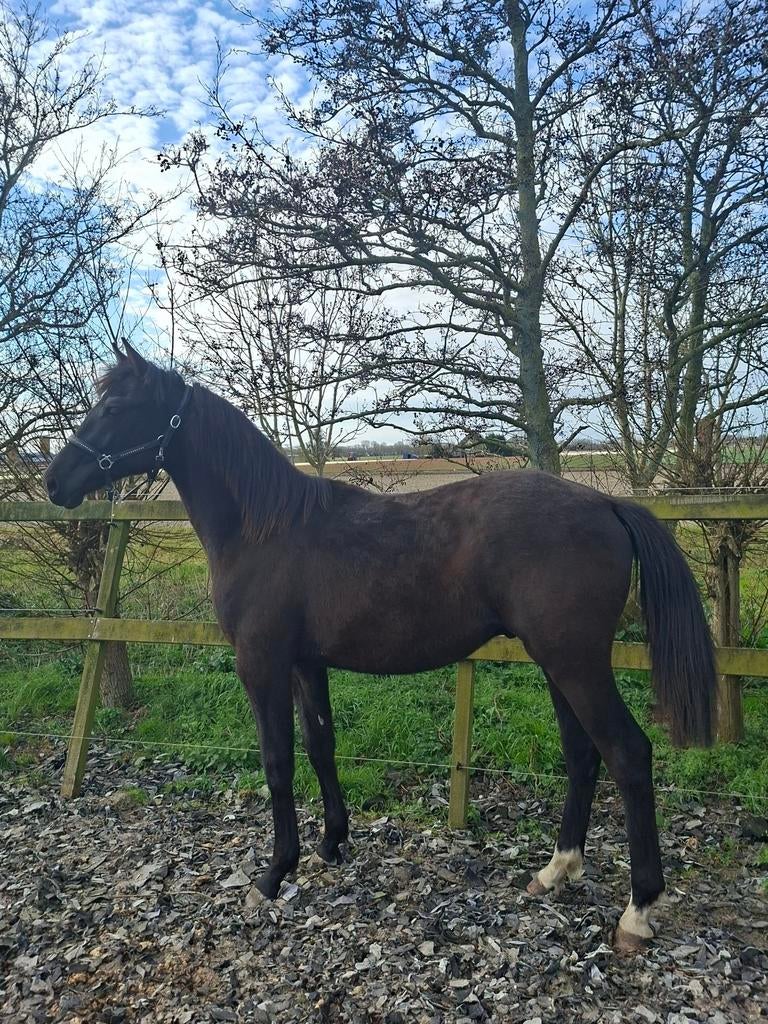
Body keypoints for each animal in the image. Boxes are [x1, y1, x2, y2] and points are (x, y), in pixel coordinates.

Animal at [44, 342, 717, 954]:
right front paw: (330, 845)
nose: (55, 481)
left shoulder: (262, 664)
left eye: (115, 407)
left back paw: (637, 910)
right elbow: (321, 747)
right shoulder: (307, 663)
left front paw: (273, 874)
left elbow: (277, 762)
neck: (264, 530)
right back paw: (555, 871)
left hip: (574, 663)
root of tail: (606, 501)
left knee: (627, 754)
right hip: (558, 663)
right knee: (582, 754)